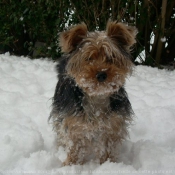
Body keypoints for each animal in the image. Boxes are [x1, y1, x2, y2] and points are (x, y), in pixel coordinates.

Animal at [50, 20, 137, 165]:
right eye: (89, 58)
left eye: (111, 57)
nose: (101, 74)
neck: (97, 96)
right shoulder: (74, 121)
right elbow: (75, 145)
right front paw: (71, 164)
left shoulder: (113, 124)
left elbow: (108, 146)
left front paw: (108, 164)